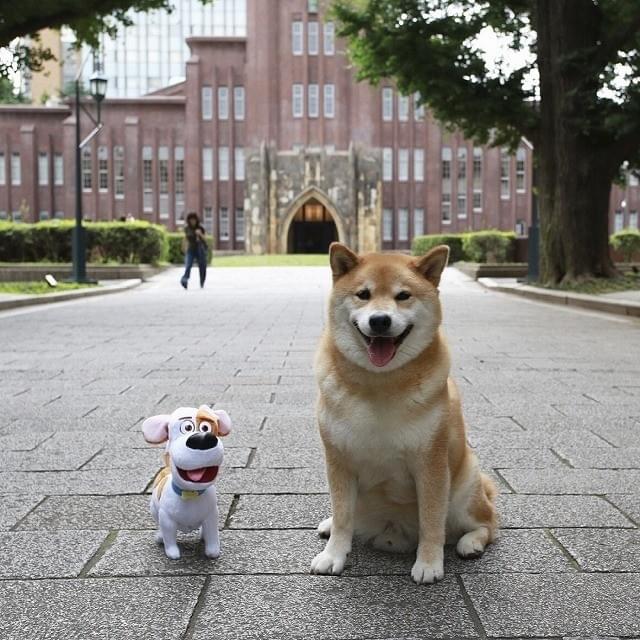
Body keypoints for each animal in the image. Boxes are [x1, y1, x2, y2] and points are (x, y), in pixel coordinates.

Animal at [312, 244, 498, 584]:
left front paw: (429, 563)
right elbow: (343, 516)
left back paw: (471, 543)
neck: (380, 382)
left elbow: (432, 522)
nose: (380, 320)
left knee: (489, 523)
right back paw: (329, 524)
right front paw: (333, 555)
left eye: (403, 296)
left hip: (464, 490)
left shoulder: (430, 464)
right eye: (363, 294)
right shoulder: (338, 461)